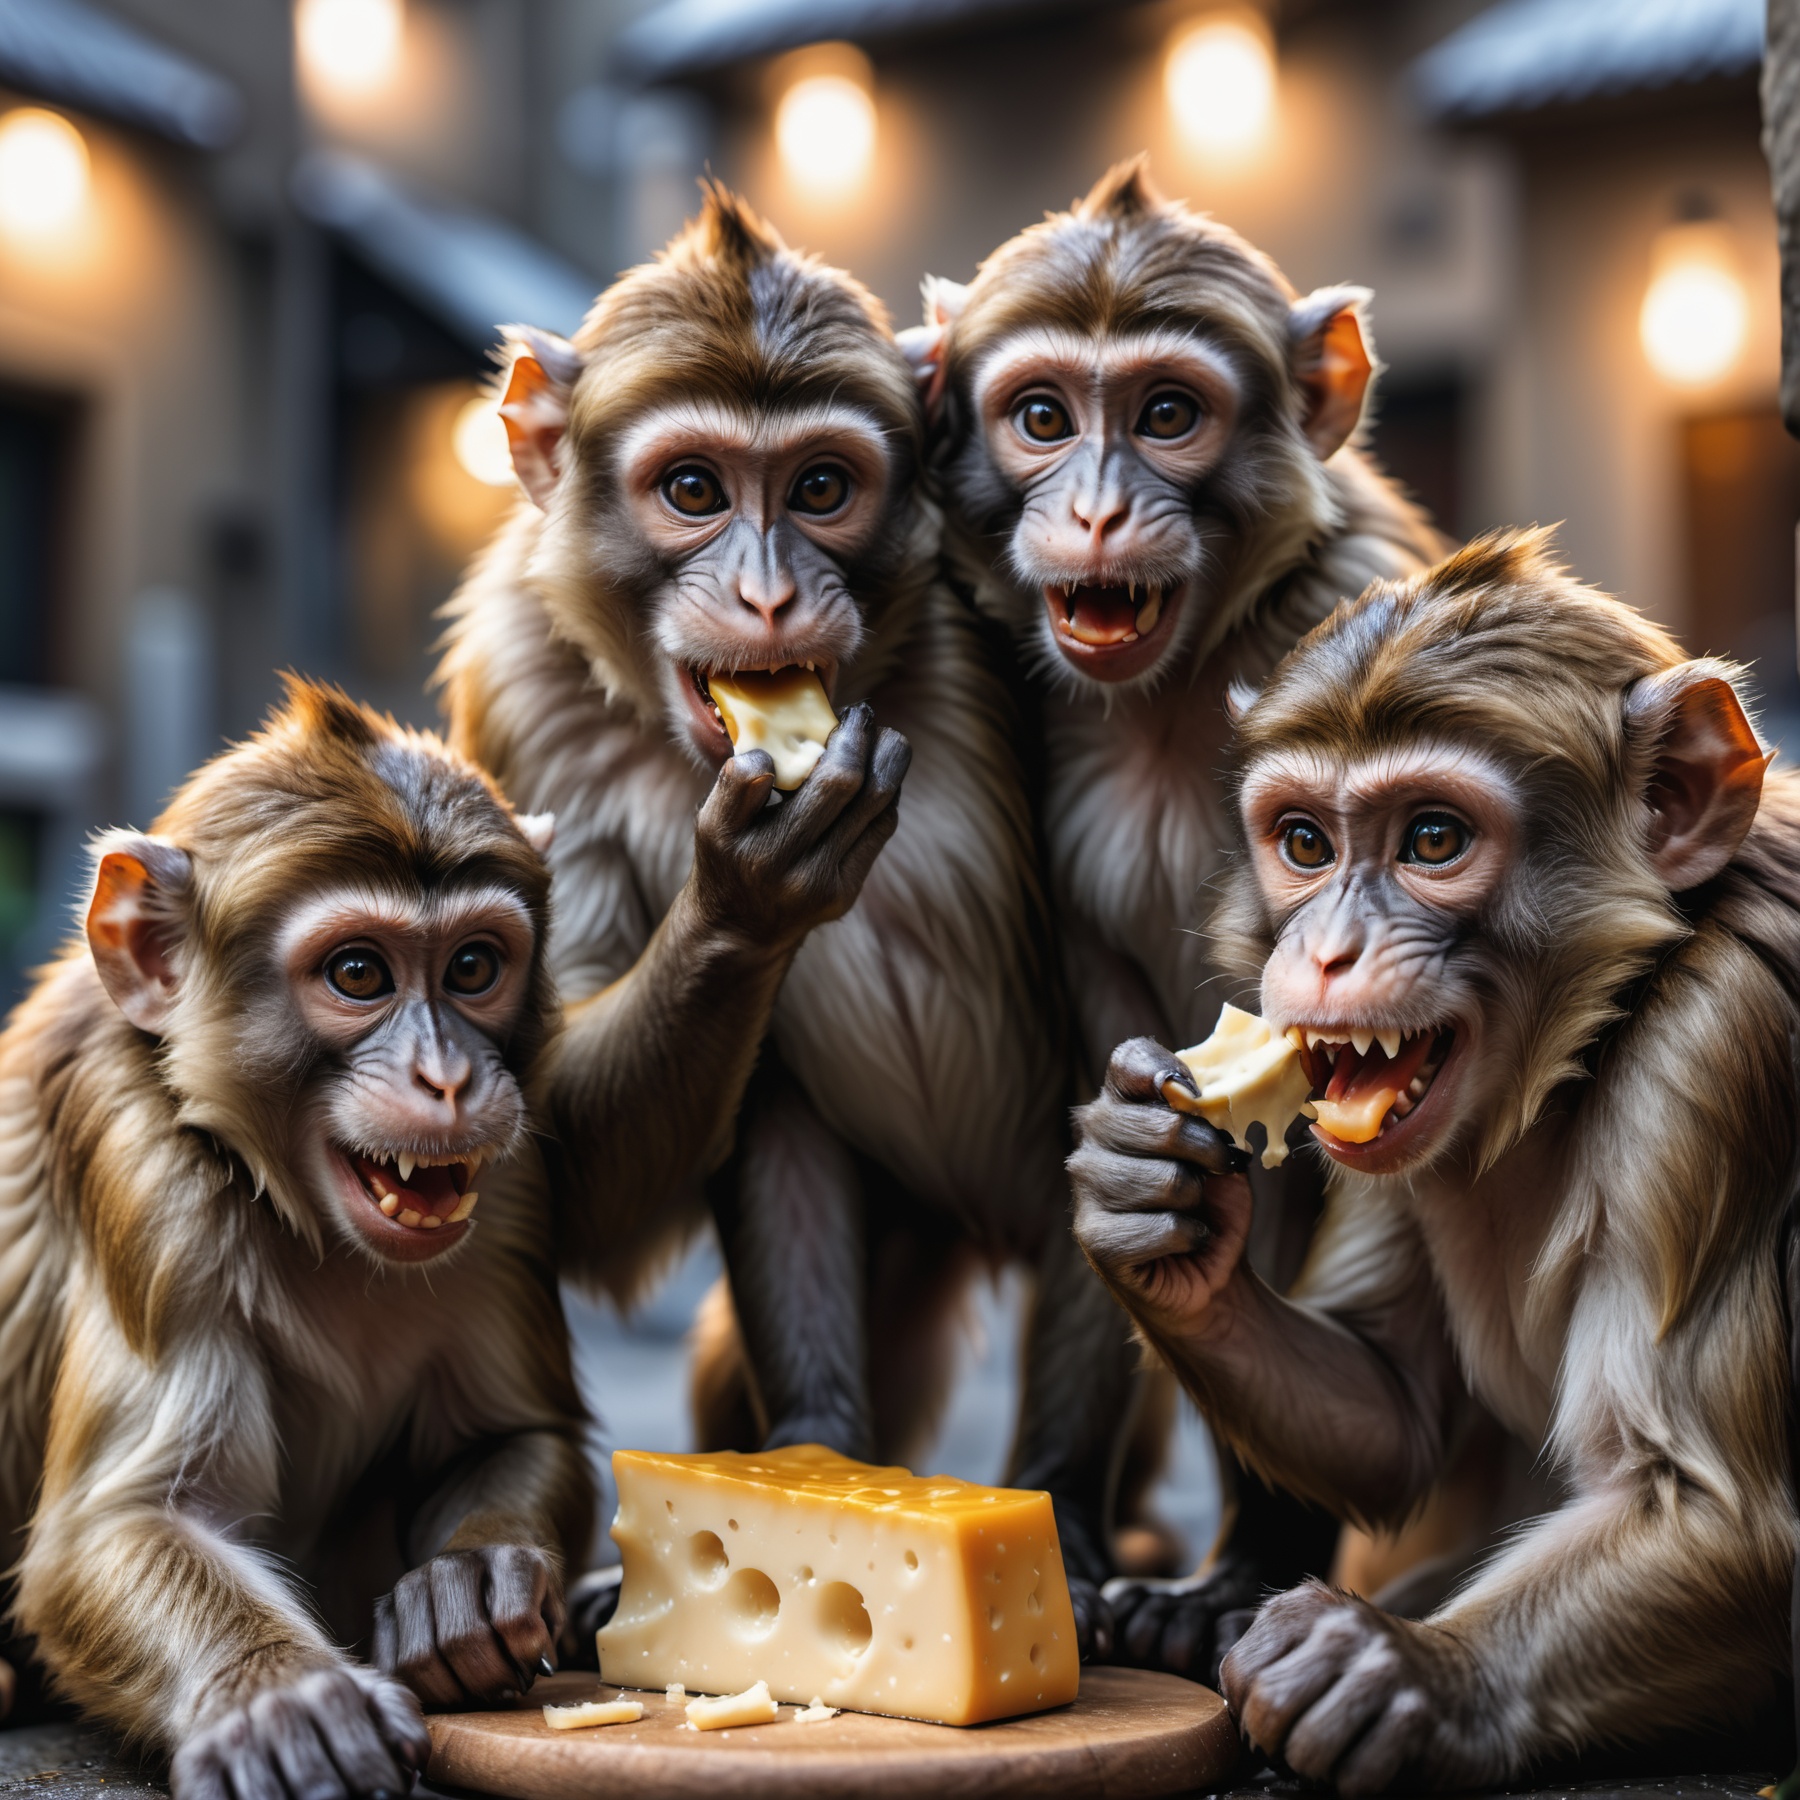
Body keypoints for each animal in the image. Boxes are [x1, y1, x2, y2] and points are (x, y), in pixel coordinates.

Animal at [0, 681, 607, 1800]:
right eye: (359, 973)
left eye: (473, 967)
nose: (448, 1079)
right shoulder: (147, 1182)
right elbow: (123, 1523)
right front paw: (279, 1696)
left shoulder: (507, 1192)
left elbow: (514, 1435)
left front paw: (472, 1577)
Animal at [436, 185, 1133, 1647]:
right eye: (695, 490)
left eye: (819, 487)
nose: (765, 596)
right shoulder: (521, 687)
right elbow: (604, 1150)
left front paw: (1073, 1541)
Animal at [904, 156, 1450, 1672]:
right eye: (1043, 416)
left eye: (1164, 414)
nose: (1094, 512)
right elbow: (1114, 1049)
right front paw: (1060, 1516)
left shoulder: (1341, 621)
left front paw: (1252, 1571)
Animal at [1067, 530, 1800, 1789]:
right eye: (1305, 844)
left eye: (1434, 841)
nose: (1327, 954)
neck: (1584, 1044)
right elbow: (1390, 1410)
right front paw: (1142, 1201)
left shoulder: (1725, 1046)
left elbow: (1718, 1513)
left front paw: (1404, 1670)